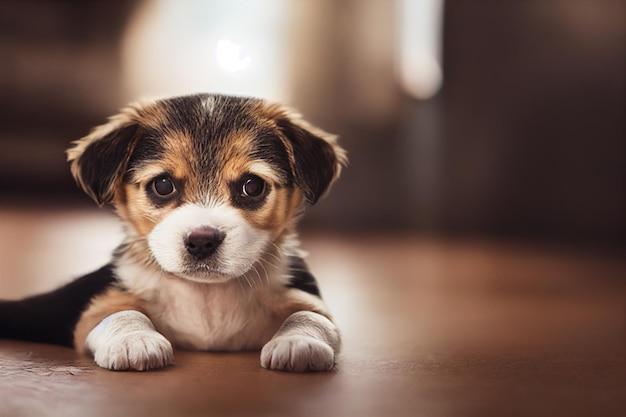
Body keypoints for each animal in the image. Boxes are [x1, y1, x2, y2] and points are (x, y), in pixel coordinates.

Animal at [0, 93, 346, 370]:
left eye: (253, 186)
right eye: (163, 185)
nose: (202, 241)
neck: (207, 296)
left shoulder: (308, 296)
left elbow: (310, 317)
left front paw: (300, 343)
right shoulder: (98, 307)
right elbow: (120, 312)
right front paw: (134, 341)